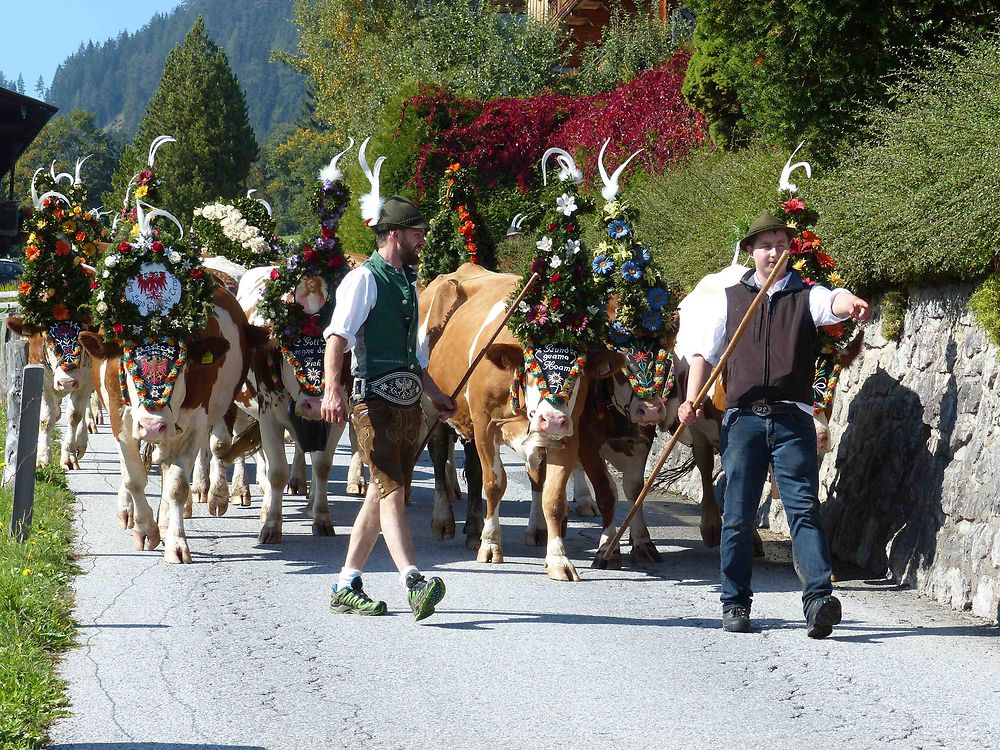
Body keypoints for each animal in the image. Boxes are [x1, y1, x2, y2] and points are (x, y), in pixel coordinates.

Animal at [5, 318, 96, 470]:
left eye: (80, 341)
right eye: (48, 342)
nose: (66, 382)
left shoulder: (86, 378)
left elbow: (75, 416)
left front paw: (69, 456)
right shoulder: (40, 376)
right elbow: (45, 419)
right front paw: (42, 457)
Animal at [418, 262, 620, 580]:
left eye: (579, 371)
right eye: (532, 365)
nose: (552, 420)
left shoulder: (569, 435)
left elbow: (553, 496)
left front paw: (558, 559)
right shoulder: (485, 424)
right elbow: (494, 483)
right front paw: (490, 546)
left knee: (478, 469)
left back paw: (478, 528)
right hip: (434, 409)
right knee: (440, 459)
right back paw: (444, 521)